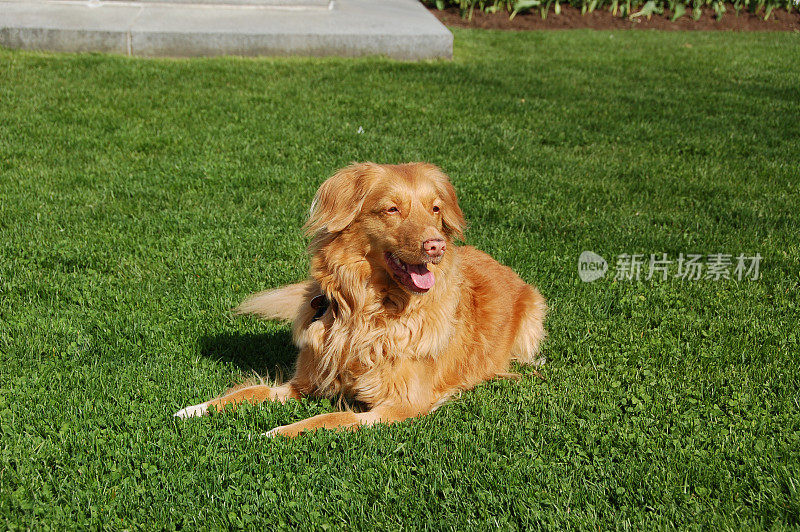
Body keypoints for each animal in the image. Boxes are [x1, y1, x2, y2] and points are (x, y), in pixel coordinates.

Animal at [176, 164, 548, 438]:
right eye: (392, 209)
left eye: (435, 209)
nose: (436, 245)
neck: (368, 313)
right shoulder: (305, 381)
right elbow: (249, 392)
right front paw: (195, 408)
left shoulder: (400, 406)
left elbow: (331, 418)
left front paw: (277, 431)